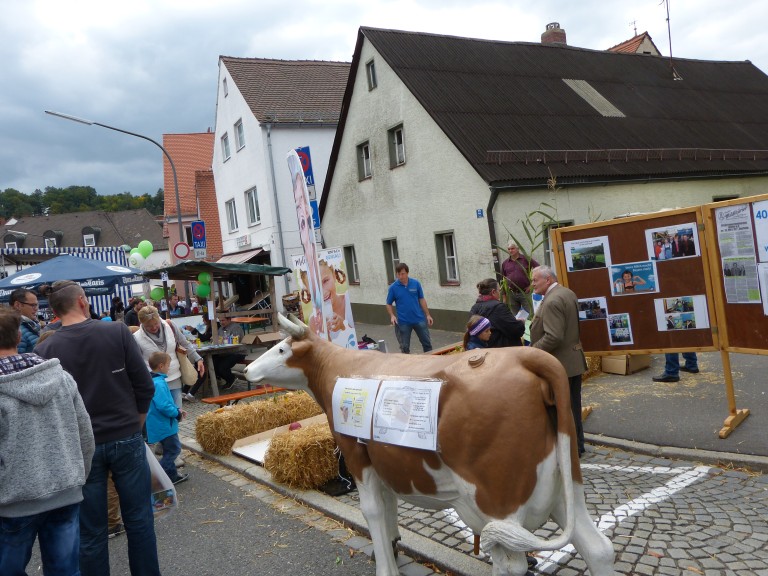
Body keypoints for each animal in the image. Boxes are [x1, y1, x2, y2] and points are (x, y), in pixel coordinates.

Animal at [243, 316, 616, 576]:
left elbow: (373, 510)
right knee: (598, 547)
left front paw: (386, 567)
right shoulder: (382, 457)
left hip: (498, 498)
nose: (247, 370)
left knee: (511, 564)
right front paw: (392, 545)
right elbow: (390, 506)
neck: (341, 372)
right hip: (563, 482)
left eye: (281, 349)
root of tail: (527, 356)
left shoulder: (354, 452)